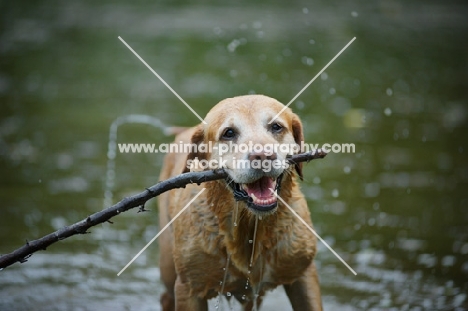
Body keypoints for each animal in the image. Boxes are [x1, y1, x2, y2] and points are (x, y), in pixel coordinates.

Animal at [157, 95, 322, 311]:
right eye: (229, 133)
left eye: (276, 127)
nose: (263, 156)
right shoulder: (189, 289)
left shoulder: (304, 276)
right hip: (169, 270)